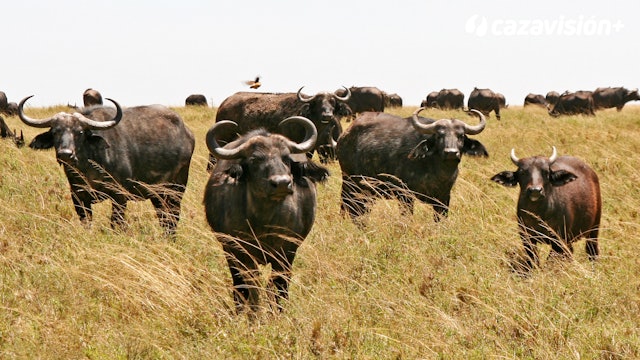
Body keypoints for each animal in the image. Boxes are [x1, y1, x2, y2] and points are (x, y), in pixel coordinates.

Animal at [20, 95, 195, 236]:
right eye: (55, 131)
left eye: (79, 132)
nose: (65, 154)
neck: (89, 168)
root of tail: (187, 133)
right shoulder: (78, 197)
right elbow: (86, 223)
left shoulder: (119, 196)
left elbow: (116, 223)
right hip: (157, 194)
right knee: (164, 217)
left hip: (176, 189)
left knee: (173, 217)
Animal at [205, 116, 330, 312]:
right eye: (255, 159)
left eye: (286, 158)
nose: (282, 183)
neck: (262, 222)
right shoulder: (237, 251)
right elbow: (248, 286)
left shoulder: (287, 252)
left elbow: (278, 285)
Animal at [338, 107, 488, 221]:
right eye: (439, 135)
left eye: (461, 135)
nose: (451, 152)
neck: (436, 170)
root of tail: (345, 136)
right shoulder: (405, 195)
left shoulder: (444, 197)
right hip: (350, 182)